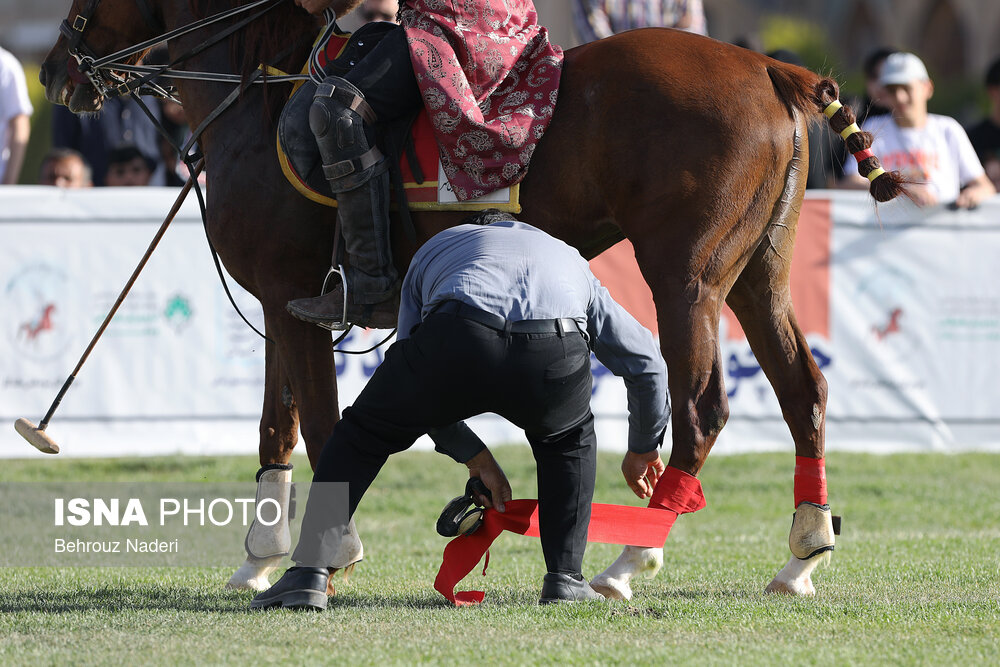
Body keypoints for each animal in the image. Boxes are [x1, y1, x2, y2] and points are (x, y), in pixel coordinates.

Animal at [39, 0, 904, 596]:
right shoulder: (286, 305)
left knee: (700, 409)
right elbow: (274, 428)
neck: (258, 96)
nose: (55, 70)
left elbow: (319, 424)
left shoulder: (293, 301)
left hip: (685, 275)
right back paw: (801, 555)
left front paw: (330, 552)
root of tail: (773, 69)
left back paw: (630, 559)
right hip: (759, 271)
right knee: (803, 391)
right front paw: (257, 560)